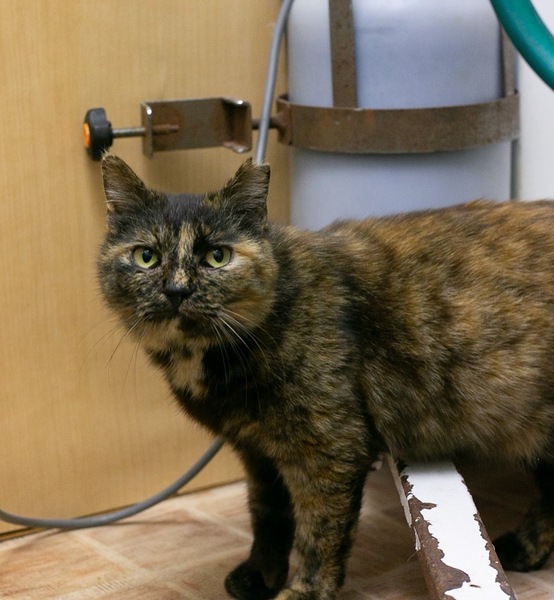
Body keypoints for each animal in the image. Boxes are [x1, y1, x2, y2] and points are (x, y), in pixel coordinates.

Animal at [98, 154, 554, 600]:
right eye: (145, 256)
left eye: (217, 256)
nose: (177, 291)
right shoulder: (257, 452)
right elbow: (268, 516)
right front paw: (261, 575)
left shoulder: (329, 450)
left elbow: (319, 532)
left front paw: (304, 592)